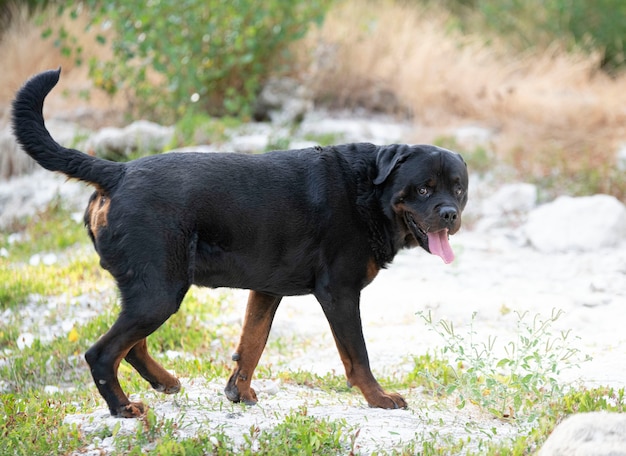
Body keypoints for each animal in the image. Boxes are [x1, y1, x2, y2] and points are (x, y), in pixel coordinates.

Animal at [12, 67, 466, 416]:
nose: (449, 213)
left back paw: (164, 382)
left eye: (458, 188)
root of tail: (117, 171)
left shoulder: (266, 289)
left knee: (132, 345)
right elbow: (357, 356)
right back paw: (123, 407)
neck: (369, 191)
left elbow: (252, 343)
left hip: (149, 288)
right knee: (104, 353)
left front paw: (239, 391)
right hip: (160, 290)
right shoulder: (339, 292)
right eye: (423, 189)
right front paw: (379, 397)